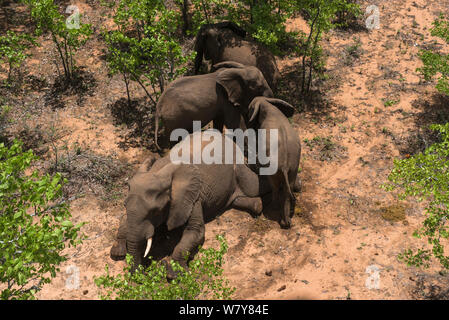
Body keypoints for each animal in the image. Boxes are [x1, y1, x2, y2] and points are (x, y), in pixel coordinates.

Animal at [110, 131, 268, 276]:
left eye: (155, 211)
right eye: (124, 205)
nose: (141, 273)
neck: (160, 173)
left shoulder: (192, 198)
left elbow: (195, 231)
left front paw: (175, 274)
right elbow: (124, 219)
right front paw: (117, 252)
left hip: (238, 165)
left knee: (255, 186)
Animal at [243, 96, 300, 229]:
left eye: (249, 109)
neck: (266, 102)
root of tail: (284, 164)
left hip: (274, 167)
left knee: (275, 186)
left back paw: (273, 207)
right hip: (294, 166)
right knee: (287, 188)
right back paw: (286, 223)